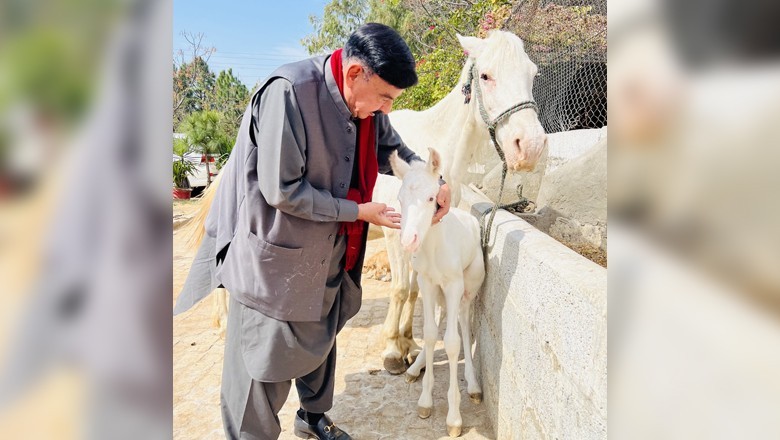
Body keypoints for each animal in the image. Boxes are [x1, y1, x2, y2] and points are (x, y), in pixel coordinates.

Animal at [373, 30, 548, 374]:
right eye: (486, 76)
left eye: (533, 74)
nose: (531, 147)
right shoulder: (394, 234)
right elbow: (400, 290)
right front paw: (392, 350)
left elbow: (415, 290)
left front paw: (410, 346)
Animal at [388, 148, 485, 438]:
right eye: (400, 199)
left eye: (432, 198)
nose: (408, 241)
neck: (433, 247)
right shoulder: (427, 283)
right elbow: (431, 335)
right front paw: (425, 401)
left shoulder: (453, 285)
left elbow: (452, 343)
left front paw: (454, 418)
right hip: (440, 292)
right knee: (442, 318)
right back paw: (415, 367)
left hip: (468, 287)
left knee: (463, 321)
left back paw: (473, 386)